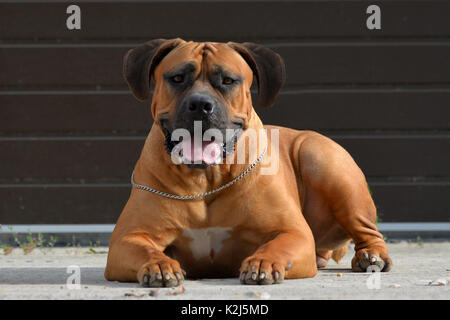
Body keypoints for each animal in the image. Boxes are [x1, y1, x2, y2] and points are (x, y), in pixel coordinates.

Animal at [104, 38, 390, 286]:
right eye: (177, 78)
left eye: (228, 81)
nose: (200, 104)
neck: (207, 180)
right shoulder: (126, 238)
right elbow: (147, 251)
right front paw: (159, 265)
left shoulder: (293, 232)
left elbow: (276, 245)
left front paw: (263, 263)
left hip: (323, 161)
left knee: (368, 230)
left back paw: (371, 256)